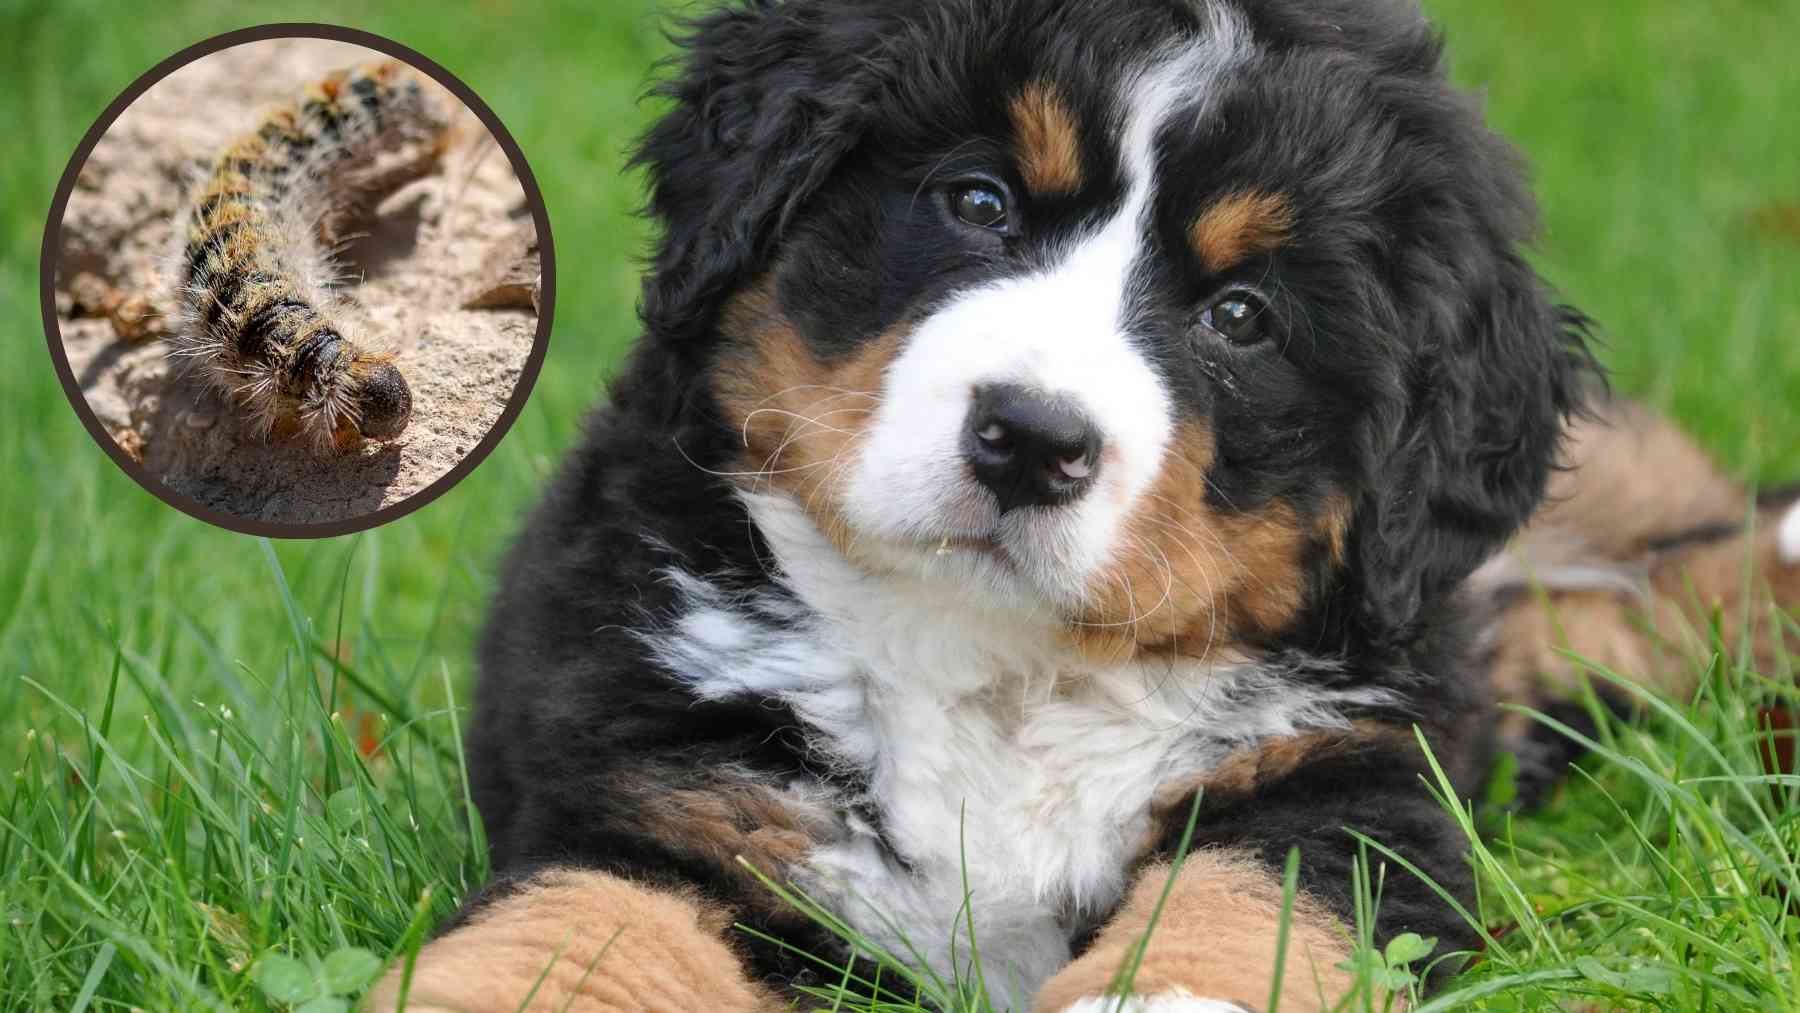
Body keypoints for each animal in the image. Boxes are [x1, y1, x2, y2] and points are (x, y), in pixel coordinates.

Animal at [369, 0, 1800, 1007]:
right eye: (977, 200)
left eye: (1242, 315)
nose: (1032, 441)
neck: (997, 668)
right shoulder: (659, 783)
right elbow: (576, 931)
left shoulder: (1354, 778)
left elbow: (1242, 900)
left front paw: (1162, 993)